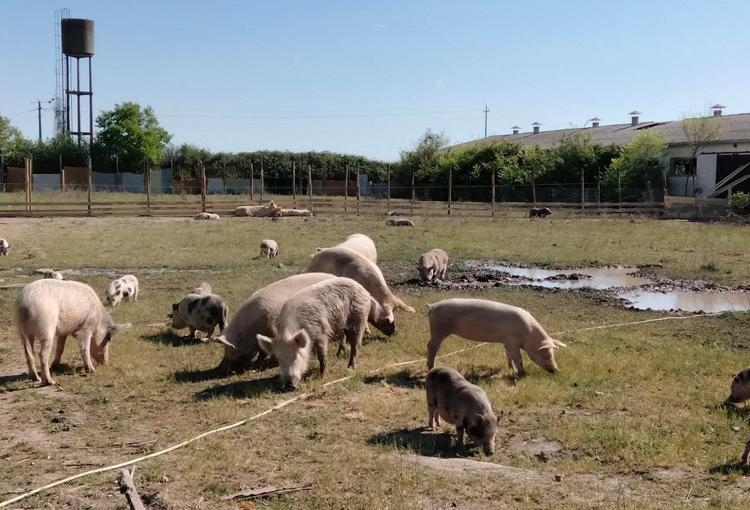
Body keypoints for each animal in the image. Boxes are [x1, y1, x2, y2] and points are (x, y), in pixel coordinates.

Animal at [426, 296, 568, 376]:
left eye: (553, 354)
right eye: (546, 355)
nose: (556, 371)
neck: (529, 335)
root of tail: (433, 306)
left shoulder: (506, 342)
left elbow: (508, 356)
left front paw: (510, 369)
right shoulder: (512, 342)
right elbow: (518, 359)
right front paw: (522, 374)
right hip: (439, 329)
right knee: (432, 347)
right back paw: (431, 367)